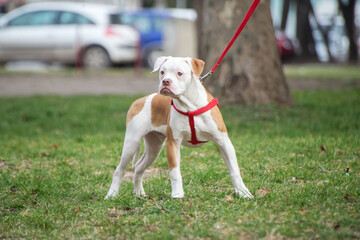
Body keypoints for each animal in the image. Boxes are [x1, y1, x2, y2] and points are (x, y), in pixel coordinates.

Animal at [105, 55, 253, 199]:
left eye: (179, 73)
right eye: (162, 72)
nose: (166, 81)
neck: (190, 106)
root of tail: (140, 100)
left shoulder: (224, 142)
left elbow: (234, 171)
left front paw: (244, 193)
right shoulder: (173, 143)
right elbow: (174, 172)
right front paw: (177, 195)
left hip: (154, 147)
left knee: (139, 167)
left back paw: (139, 194)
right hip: (132, 142)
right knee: (119, 170)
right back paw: (112, 195)